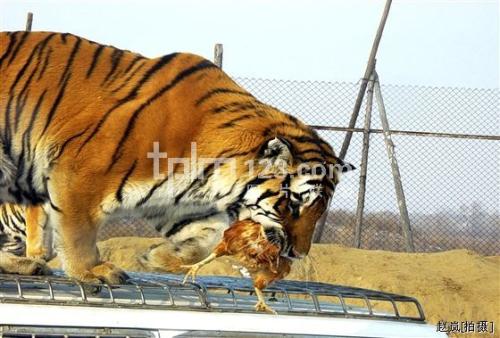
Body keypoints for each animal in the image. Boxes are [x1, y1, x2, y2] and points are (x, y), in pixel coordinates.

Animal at [0, 31, 354, 286]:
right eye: (292, 205)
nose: (299, 254)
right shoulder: (77, 172)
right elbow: (78, 232)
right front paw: (91, 271)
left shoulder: (177, 199)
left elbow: (209, 236)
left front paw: (160, 256)